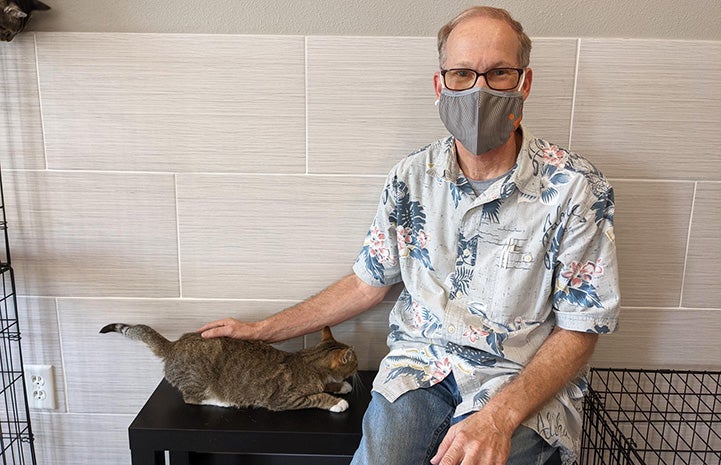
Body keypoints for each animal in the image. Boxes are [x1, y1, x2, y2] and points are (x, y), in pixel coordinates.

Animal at [100, 320, 358, 412]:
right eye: (355, 362)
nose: (357, 369)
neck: (309, 362)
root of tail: (174, 345)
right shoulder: (284, 399)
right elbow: (317, 396)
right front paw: (337, 401)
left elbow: (328, 386)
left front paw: (341, 386)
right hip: (200, 377)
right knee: (192, 398)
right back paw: (221, 401)